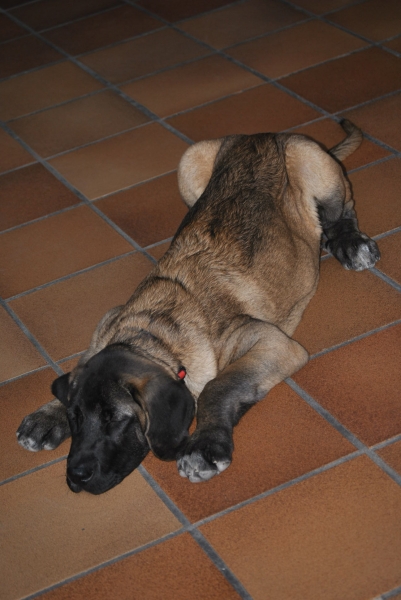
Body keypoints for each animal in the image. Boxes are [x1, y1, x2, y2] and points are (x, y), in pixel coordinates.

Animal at [16, 120, 378, 492]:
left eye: (115, 419)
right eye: (75, 417)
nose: (76, 476)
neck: (152, 332)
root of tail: (265, 135)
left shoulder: (273, 341)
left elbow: (218, 388)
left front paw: (204, 447)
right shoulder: (110, 318)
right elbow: (85, 357)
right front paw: (48, 415)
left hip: (309, 158)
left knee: (342, 208)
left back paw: (349, 242)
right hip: (191, 162)